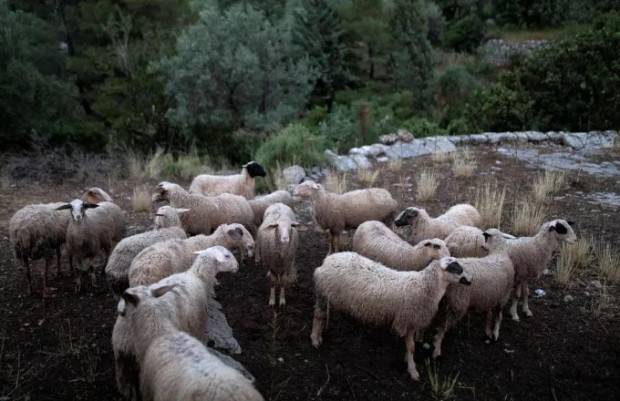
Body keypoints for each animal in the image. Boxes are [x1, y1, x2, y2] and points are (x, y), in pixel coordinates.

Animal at [112, 247, 239, 400]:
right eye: (227, 256)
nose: (238, 266)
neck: (199, 277)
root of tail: (124, 333)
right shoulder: (197, 324)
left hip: (122, 360)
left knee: (123, 384)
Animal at [312, 252, 472, 380]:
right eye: (456, 268)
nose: (471, 280)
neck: (424, 286)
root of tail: (327, 261)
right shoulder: (406, 319)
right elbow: (412, 347)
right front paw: (413, 371)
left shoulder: (412, 321)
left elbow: (410, 346)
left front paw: (408, 361)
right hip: (324, 295)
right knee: (318, 317)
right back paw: (315, 340)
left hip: (327, 296)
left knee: (321, 317)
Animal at [432, 230, 512, 358]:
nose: (483, 246)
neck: (499, 252)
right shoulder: (503, 296)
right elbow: (498, 316)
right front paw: (495, 334)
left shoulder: (492, 295)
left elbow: (490, 315)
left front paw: (488, 332)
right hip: (458, 302)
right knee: (443, 327)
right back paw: (436, 349)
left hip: (448, 301)